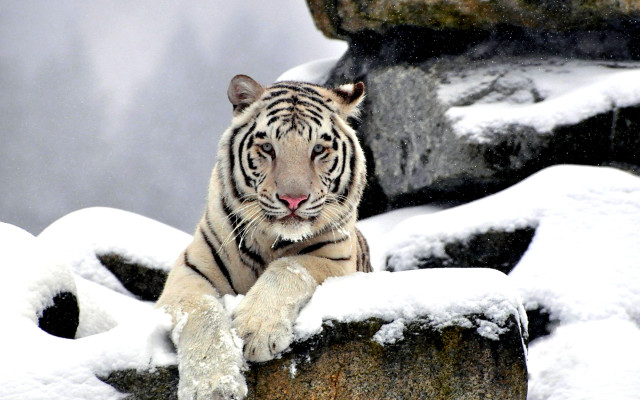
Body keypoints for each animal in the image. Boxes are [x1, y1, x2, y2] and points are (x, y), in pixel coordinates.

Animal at [156, 74, 371, 399]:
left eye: (318, 149)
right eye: (268, 148)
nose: (293, 200)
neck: (271, 240)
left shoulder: (335, 259)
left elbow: (289, 268)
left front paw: (255, 331)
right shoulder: (189, 271)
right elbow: (202, 313)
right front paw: (214, 386)